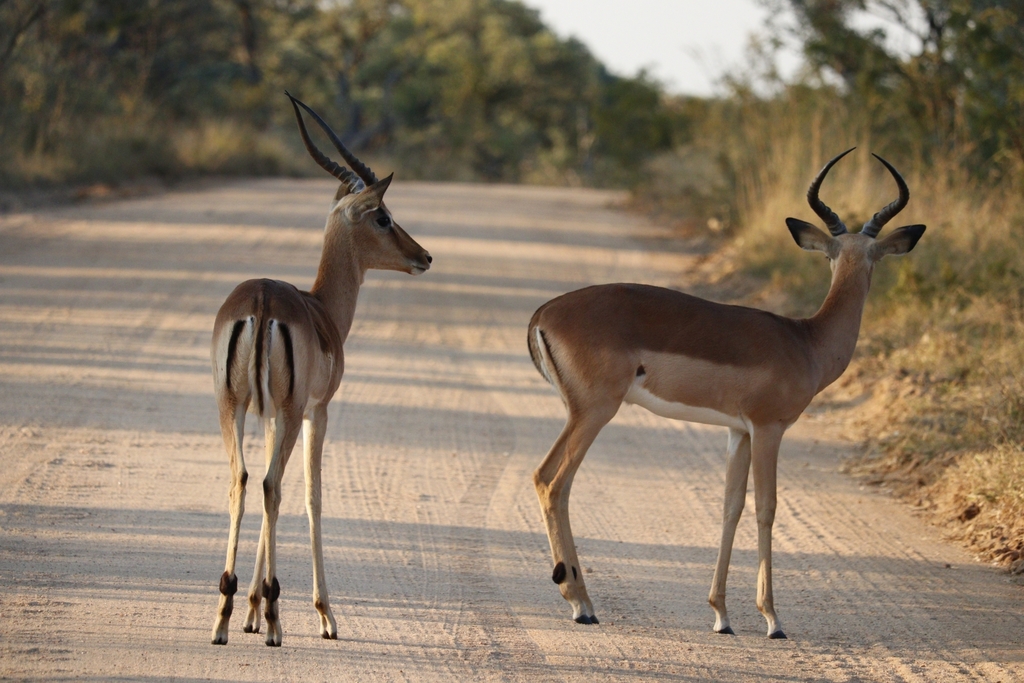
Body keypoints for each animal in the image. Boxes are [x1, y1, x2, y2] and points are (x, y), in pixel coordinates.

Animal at [209, 93, 431, 646]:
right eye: (382, 216)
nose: (423, 256)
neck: (322, 308)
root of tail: (262, 300)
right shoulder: (317, 411)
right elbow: (312, 497)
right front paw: (323, 615)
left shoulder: (270, 414)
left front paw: (249, 611)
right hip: (288, 412)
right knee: (270, 485)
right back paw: (275, 622)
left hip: (232, 405)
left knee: (242, 480)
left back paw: (224, 615)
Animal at [527, 149, 924, 638]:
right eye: (842, 254)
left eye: (870, 254)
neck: (806, 341)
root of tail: (544, 313)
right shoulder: (769, 428)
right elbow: (767, 508)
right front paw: (773, 619)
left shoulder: (739, 432)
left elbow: (730, 507)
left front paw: (721, 615)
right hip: (595, 411)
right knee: (552, 481)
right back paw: (582, 603)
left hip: (582, 411)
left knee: (550, 480)